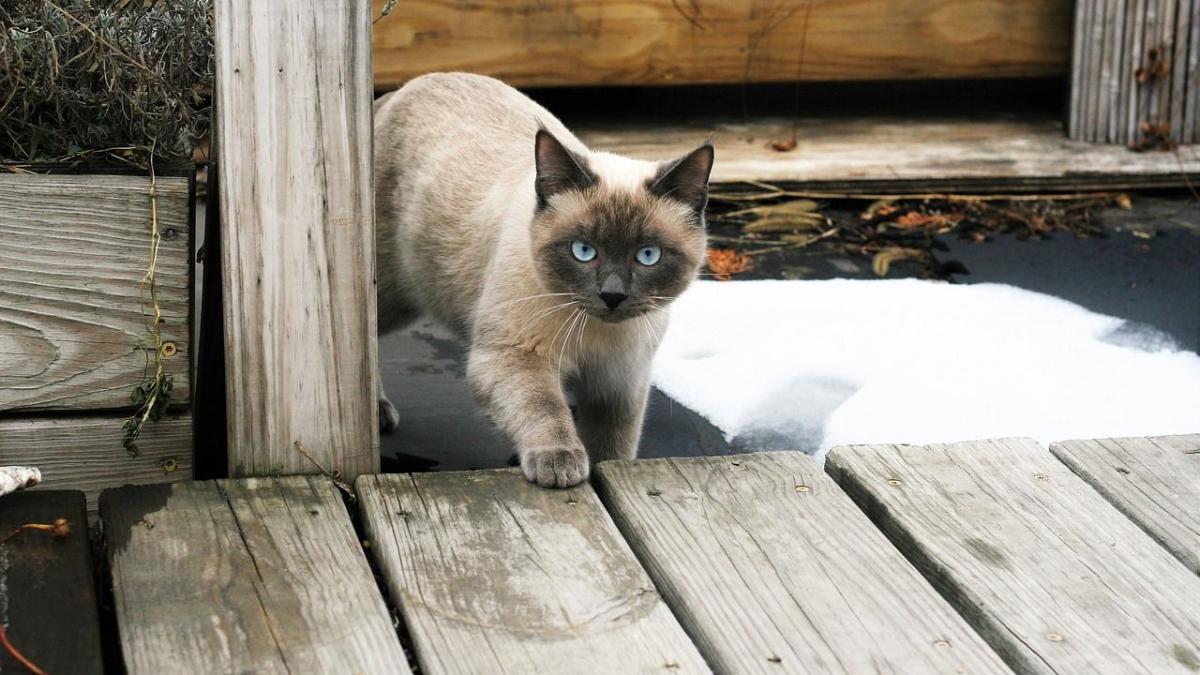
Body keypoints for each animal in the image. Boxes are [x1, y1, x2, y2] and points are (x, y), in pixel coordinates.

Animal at [374, 72, 710, 482]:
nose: (612, 295)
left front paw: (606, 467)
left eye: (648, 256)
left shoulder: (619, 385)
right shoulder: (514, 357)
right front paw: (560, 464)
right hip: (391, 297)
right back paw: (378, 411)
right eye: (583, 251)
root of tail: (402, 88)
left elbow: (613, 448)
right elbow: (545, 409)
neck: (597, 335)